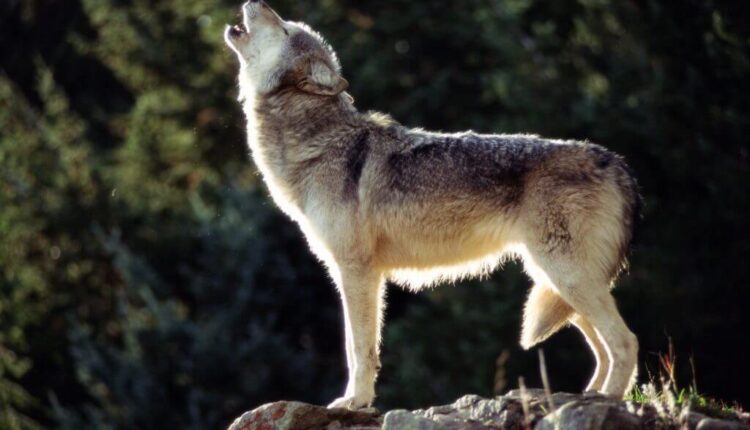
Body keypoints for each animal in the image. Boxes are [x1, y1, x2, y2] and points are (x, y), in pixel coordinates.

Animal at [225, 0, 641, 410]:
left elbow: (358, 348)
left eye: (284, 28)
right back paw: (588, 397)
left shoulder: (357, 271)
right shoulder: (359, 272)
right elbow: (361, 346)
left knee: (626, 341)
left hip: (566, 277)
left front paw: (354, 401)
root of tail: (619, 163)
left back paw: (608, 400)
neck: (320, 141)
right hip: (556, 282)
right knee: (603, 348)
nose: (257, 1)